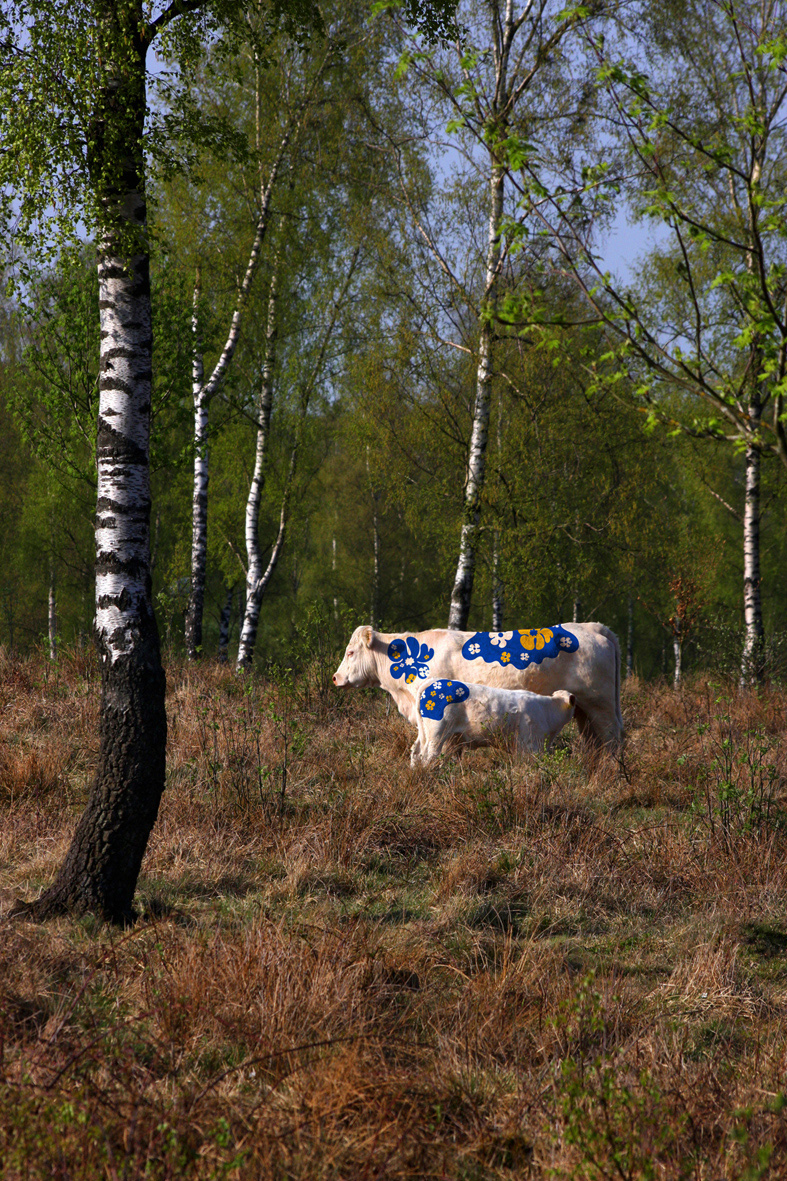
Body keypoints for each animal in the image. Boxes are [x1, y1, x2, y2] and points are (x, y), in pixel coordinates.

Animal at [330, 623, 619, 751]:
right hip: (584, 711)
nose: (335, 677)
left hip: (602, 706)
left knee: (612, 741)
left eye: (351, 652)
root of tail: (590, 626)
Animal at [411, 680, 576, 770]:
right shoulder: (530, 745)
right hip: (437, 732)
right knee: (429, 755)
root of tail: (433, 681)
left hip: (427, 732)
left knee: (416, 751)